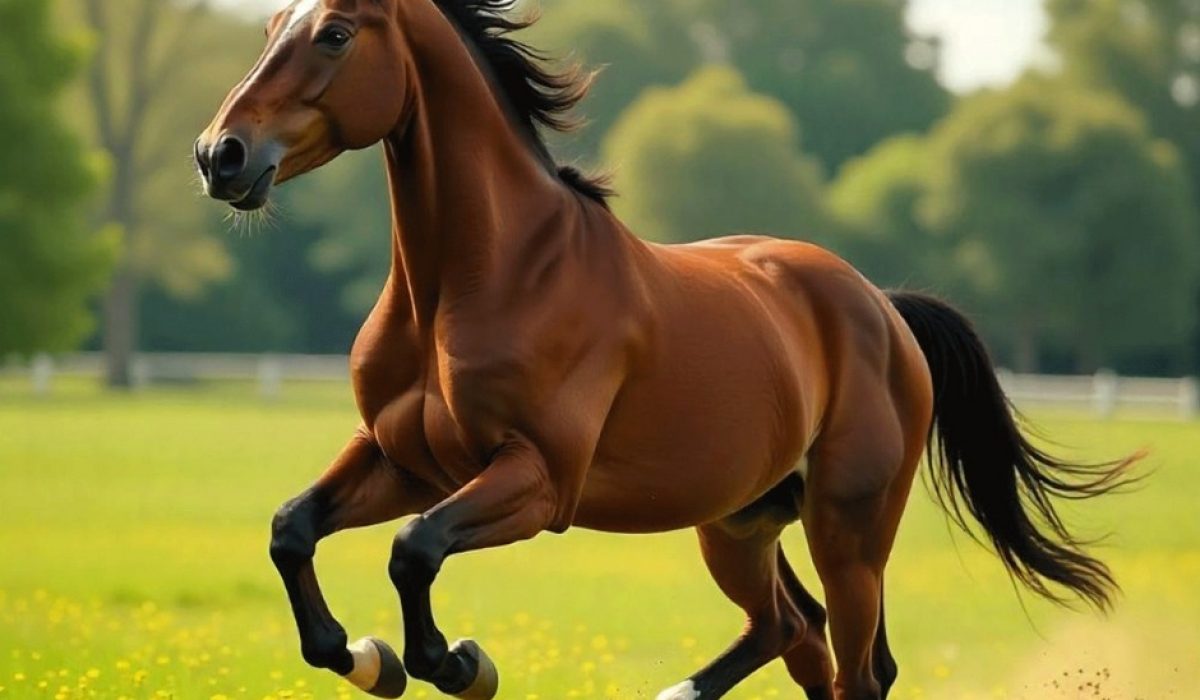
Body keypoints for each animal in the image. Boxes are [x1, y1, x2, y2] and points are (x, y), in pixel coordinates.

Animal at [195, 1, 1134, 698]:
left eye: (335, 32)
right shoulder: (405, 460)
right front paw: (365, 659)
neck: (485, 278)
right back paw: (679, 688)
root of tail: (882, 308)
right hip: (740, 523)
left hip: (849, 530)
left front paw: (458, 663)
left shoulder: (537, 481)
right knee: (794, 629)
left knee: (855, 670)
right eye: (270, 21)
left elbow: (414, 549)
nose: (219, 155)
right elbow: (292, 530)